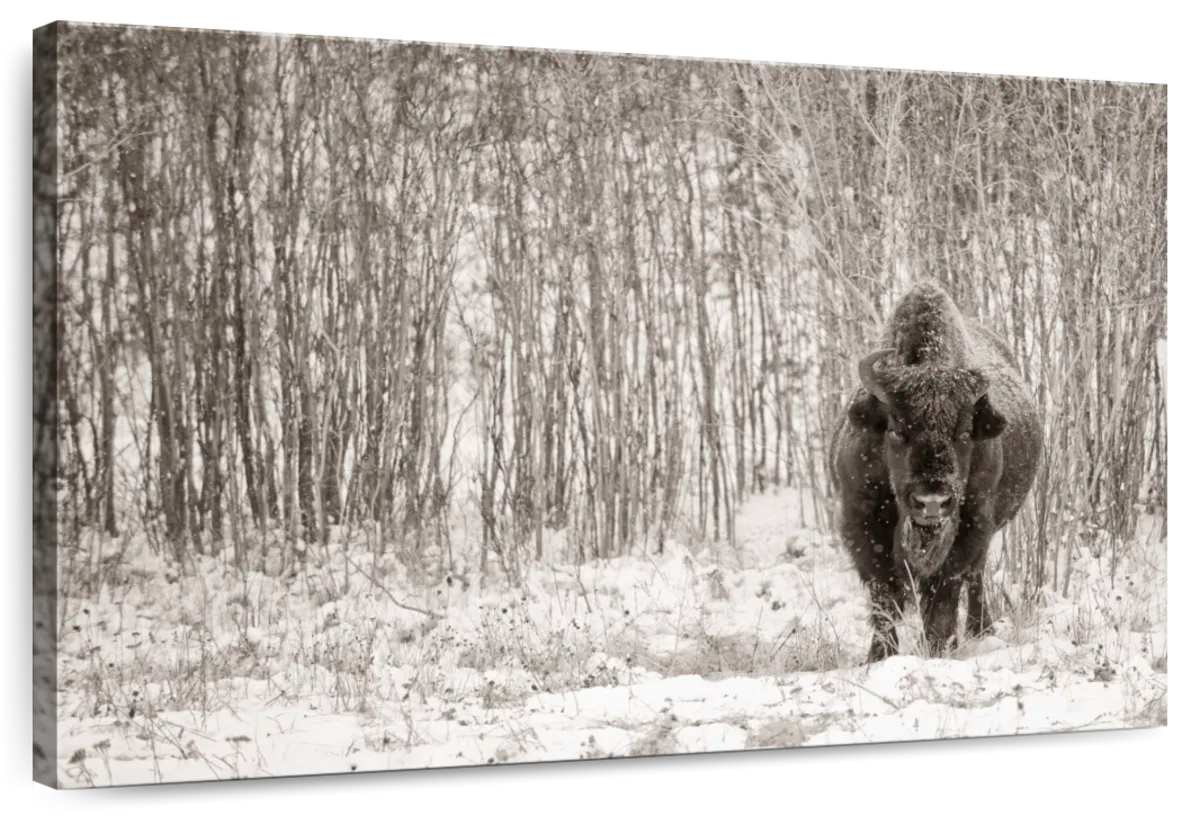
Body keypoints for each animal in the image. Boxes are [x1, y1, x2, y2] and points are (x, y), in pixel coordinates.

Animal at [830, 281, 1043, 663]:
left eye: (964, 433)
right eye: (895, 431)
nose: (932, 500)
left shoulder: (973, 525)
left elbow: (943, 595)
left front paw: (937, 649)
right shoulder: (860, 521)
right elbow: (884, 597)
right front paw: (879, 657)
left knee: (975, 579)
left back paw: (980, 631)